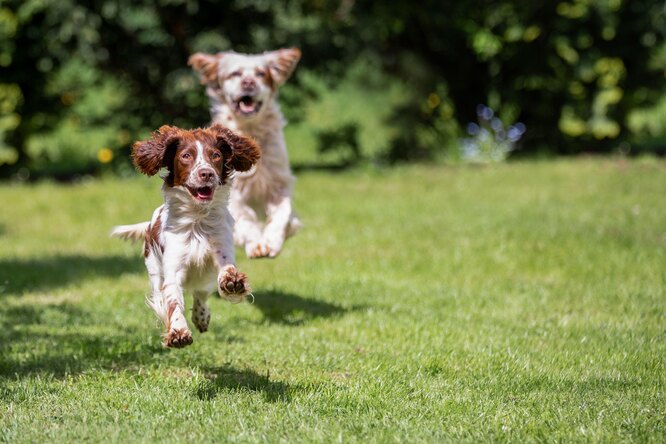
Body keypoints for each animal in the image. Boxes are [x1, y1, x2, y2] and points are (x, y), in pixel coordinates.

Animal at [111, 123, 260, 348]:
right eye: (186, 156)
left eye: (216, 155)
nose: (206, 174)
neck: (197, 219)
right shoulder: (173, 270)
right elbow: (173, 301)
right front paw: (178, 332)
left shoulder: (221, 249)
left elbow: (227, 269)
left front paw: (232, 281)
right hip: (154, 271)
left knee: (200, 294)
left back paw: (201, 316)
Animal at [187, 46, 300, 258]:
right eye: (235, 74)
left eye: (261, 74)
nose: (249, 82)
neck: (250, 130)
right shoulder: (233, 190)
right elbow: (245, 216)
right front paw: (255, 243)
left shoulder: (278, 183)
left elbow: (282, 213)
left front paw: (272, 241)